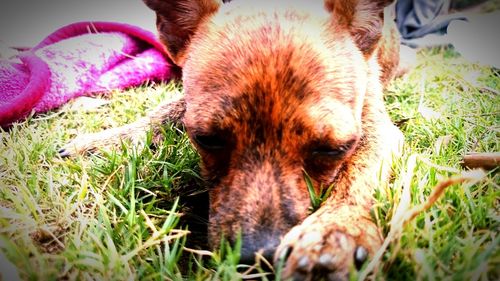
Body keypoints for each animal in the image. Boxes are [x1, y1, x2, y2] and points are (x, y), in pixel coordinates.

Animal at [62, 0, 404, 278]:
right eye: (206, 139)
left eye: (334, 149)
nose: (256, 258)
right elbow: (168, 107)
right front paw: (108, 140)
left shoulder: (378, 128)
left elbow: (361, 173)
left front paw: (336, 231)